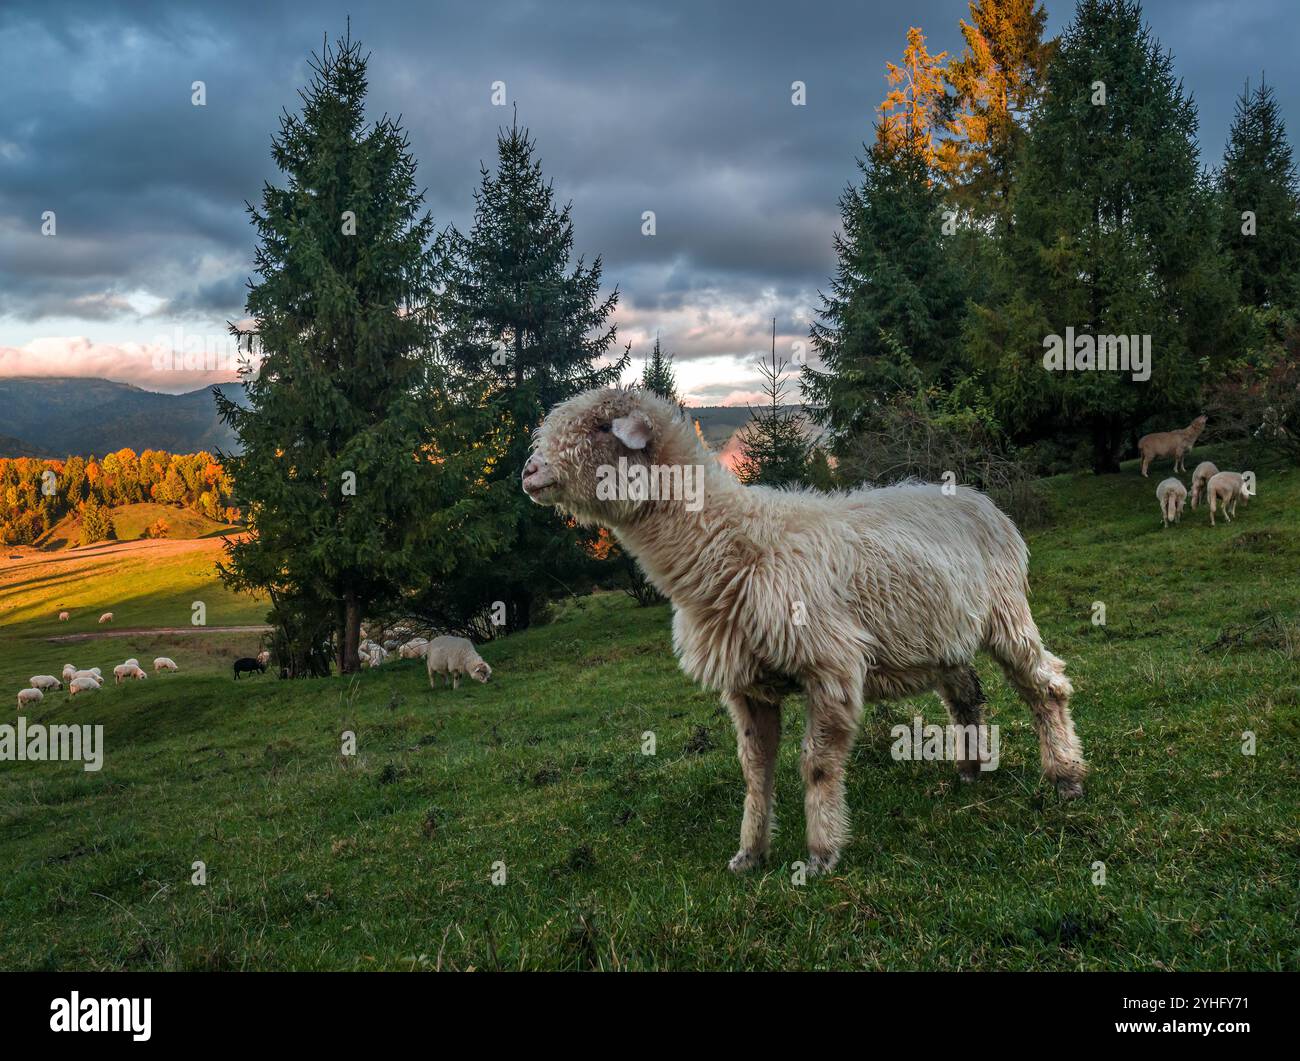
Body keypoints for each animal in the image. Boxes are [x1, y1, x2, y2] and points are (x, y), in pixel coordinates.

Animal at [524, 387, 1085, 875]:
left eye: (600, 427)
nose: (529, 472)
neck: (731, 544)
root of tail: (984, 502)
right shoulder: (747, 686)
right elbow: (755, 770)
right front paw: (749, 854)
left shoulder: (830, 666)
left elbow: (817, 765)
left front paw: (820, 855)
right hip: (943, 633)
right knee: (966, 695)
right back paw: (970, 770)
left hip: (1006, 611)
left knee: (1046, 685)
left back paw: (1065, 776)